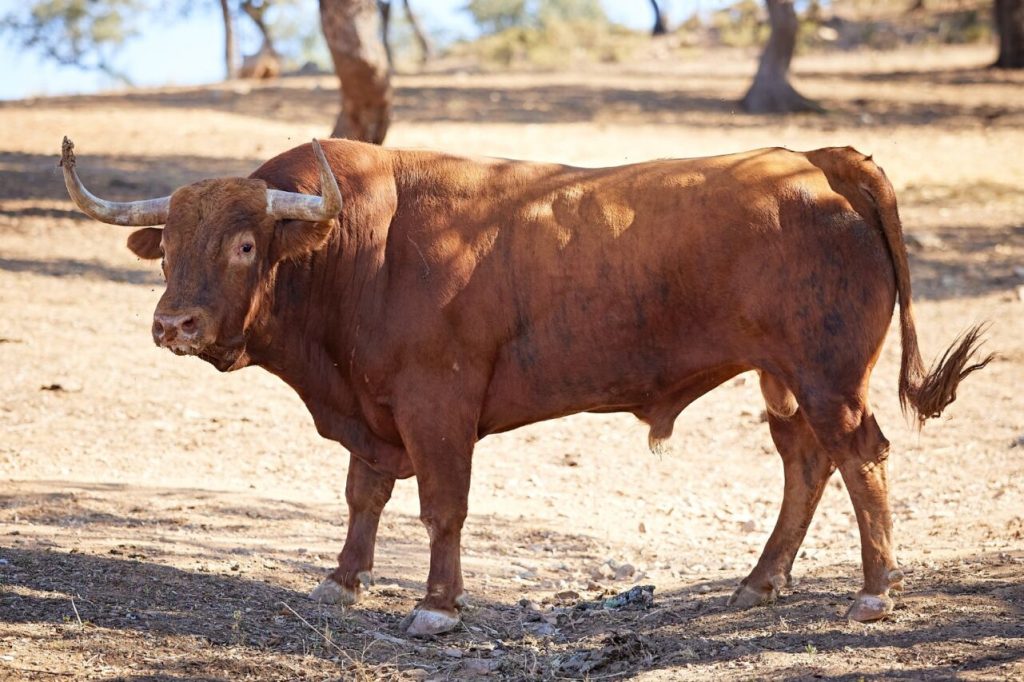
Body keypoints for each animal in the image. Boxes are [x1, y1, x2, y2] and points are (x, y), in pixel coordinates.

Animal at [59, 135, 987, 634]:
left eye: (246, 244)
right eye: (169, 247)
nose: (173, 324)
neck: (360, 248)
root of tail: (816, 161)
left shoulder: (437, 406)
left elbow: (441, 506)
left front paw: (438, 606)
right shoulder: (372, 411)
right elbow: (364, 495)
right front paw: (342, 579)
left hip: (829, 374)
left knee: (860, 455)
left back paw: (874, 592)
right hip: (783, 378)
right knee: (805, 459)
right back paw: (761, 582)